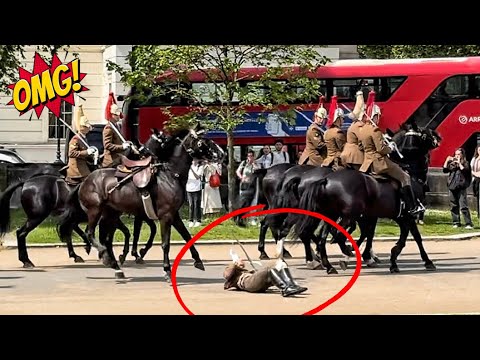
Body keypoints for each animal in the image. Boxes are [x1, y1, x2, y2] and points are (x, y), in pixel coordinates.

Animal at [57, 124, 225, 282]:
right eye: (203, 141)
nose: (222, 153)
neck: (170, 175)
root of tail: (85, 180)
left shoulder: (173, 215)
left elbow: (187, 237)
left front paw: (198, 261)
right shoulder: (164, 216)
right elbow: (165, 243)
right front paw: (166, 270)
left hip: (110, 214)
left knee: (104, 238)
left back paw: (115, 265)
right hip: (95, 211)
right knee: (90, 233)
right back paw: (103, 256)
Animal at [294, 169, 436, 272]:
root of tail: (326, 180)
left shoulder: (398, 218)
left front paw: (392, 260)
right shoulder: (407, 217)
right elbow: (415, 238)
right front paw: (427, 261)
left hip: (331, 215)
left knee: (321, 237)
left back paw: (328, 264)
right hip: (348, 216)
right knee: (335, 233)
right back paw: (343, 252)